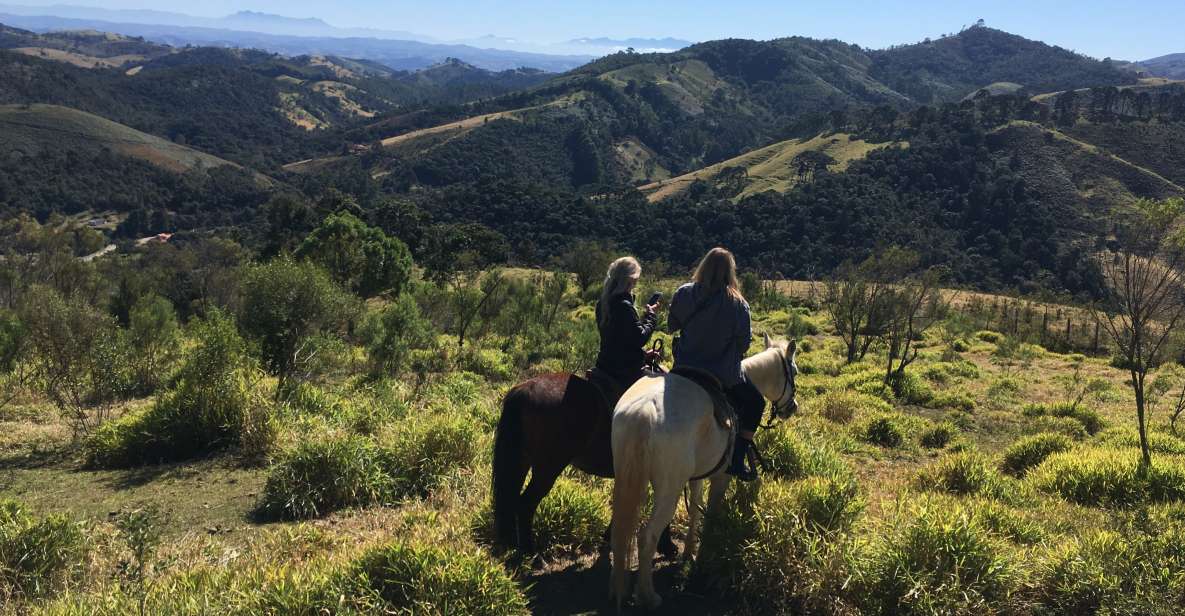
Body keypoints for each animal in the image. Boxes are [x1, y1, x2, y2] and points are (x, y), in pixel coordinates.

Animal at [492, 369, 677, 554]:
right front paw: (667, 546)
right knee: (525, 505)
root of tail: (525, 389)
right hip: (548, 468)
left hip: (521, 461)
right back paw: (528, 550)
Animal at [611, 336, 796, 611]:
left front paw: (689, 551)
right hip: (668, 490)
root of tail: (643, 412)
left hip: (626, 477)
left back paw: (619, 587)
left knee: (620, 531)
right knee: (647, 536)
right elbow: (711, 513)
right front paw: (705, 557)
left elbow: (696, 508)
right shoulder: (721, 477)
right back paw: (648, 596)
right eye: (794, 371)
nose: (791, 408)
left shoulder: (696, 476)